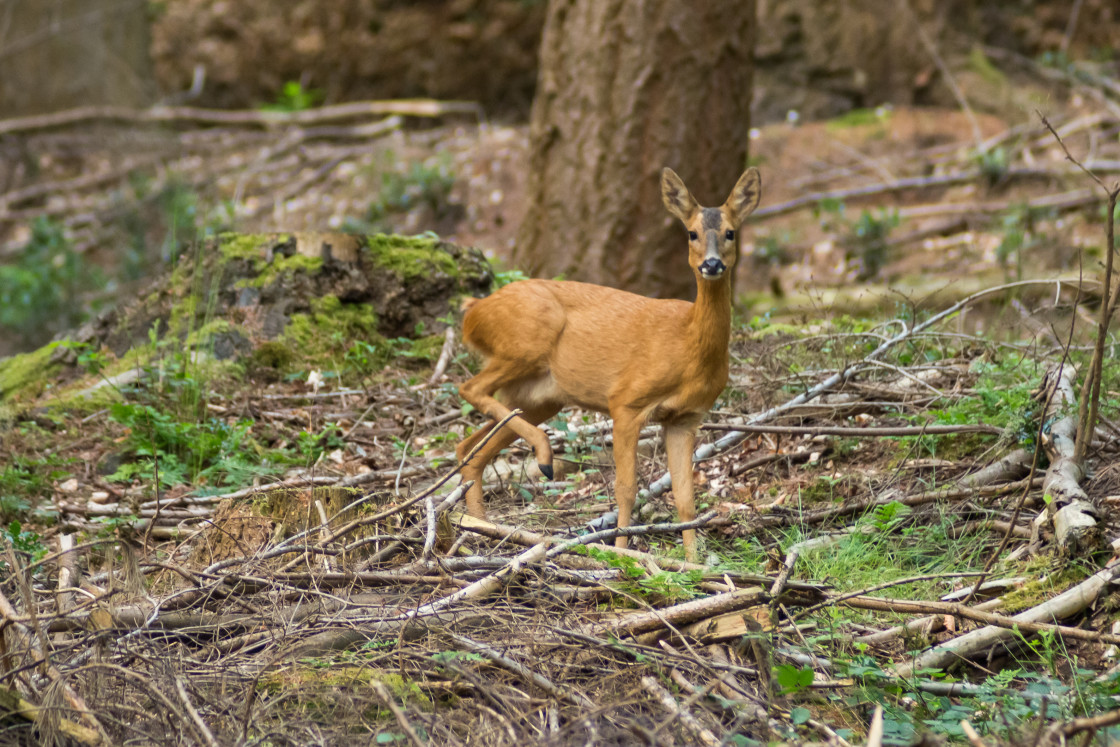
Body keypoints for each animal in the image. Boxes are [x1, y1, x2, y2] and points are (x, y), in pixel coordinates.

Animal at [454, 166, 761, 557]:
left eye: (731, 232)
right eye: (691, 233)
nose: (712, 264)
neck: (687, 345)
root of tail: (473, 312)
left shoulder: (685, 417)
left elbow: (686, 498)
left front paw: (695, 563)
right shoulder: (626, 400)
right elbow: (626, 489)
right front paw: (622, 551)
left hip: (537, 396)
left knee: (470, 447)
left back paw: (482, 529)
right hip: (526, 340)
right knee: (470, 388)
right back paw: (542, 460)